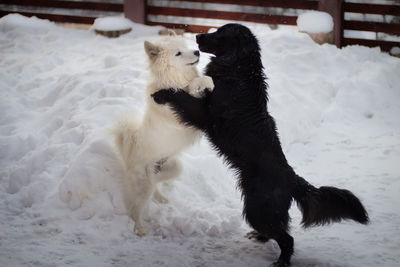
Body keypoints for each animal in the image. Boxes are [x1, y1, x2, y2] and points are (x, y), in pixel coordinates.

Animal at [111, 34, 214, 237]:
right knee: (136, 208)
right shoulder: (181, 116)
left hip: (175, 166)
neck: (175, 78)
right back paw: (139, 228)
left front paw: (204, 83)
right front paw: (193, 86)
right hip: (142, 184)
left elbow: (204, 80)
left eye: (187, 47)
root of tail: (128, 152)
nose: (197, 51)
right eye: (178, 53)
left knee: (155, 182)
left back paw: (159, 196)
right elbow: (186, 93)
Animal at [152, 23, 368, 267]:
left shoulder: (207, 115)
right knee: (279, 230)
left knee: (287, 238)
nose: (197, 36)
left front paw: (162, 94)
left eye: (221, 33)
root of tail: (292, 178)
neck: (239, 71)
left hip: (258, 208)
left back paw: (281, 260)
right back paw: (260, 237)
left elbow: (181, 96)